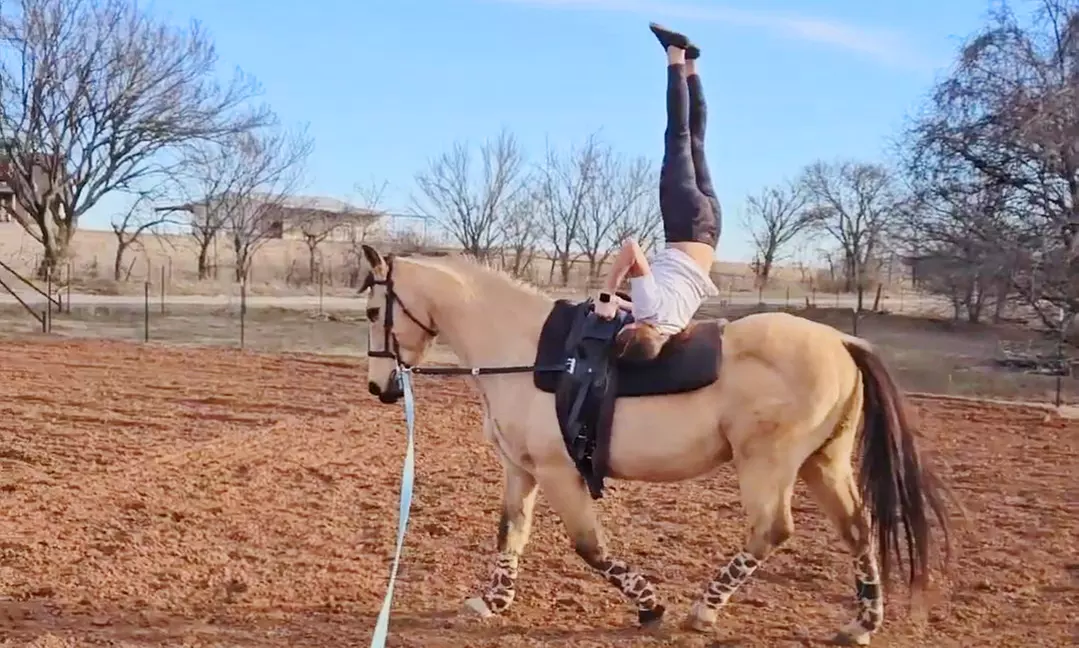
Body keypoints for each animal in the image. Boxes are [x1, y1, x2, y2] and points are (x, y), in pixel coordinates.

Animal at [357, 244, 951, 646]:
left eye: (372, 312)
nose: (380, 387)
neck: (529, 354)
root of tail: (841, 341)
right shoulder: (520, 469)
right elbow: (511, 533)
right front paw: (492, 600)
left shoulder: (559, 472)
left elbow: (589, 547)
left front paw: (649, 606)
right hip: (821, 464)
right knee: (856, 529)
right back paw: (861, 623)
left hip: (768, 464)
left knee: (772, 530)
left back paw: (704, 610)